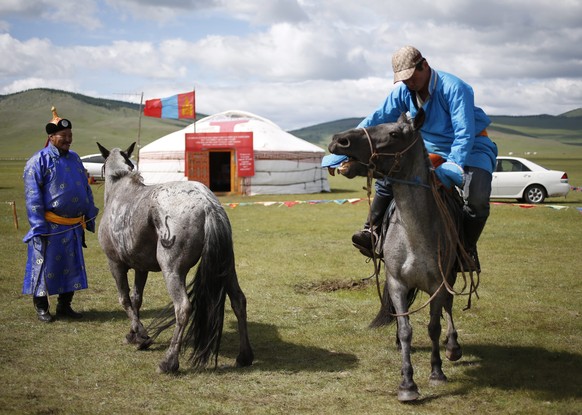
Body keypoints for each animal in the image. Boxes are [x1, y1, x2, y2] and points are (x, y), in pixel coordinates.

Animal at [97, 143, 253, 374]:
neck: (120, 190)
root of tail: (207, 205)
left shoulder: (115, 264)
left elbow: (124, 299)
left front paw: (140, 336)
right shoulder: (140, 267)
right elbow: (136, 298)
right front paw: (134, 334)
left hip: (172, 270)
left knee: (183, 308)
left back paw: (169, 361)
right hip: (228, 268)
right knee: (239, 301)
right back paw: (245, 356)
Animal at [328, 109, 480, 404]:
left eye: (394, 134)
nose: (339, 140)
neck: (414, 234)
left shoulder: (438, 285)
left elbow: (433, 326)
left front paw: (436, 372)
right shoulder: (397, 283)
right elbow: (405, 329)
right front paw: (407, 384)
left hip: (452, 276)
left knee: (448, 309)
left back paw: (453, 346)